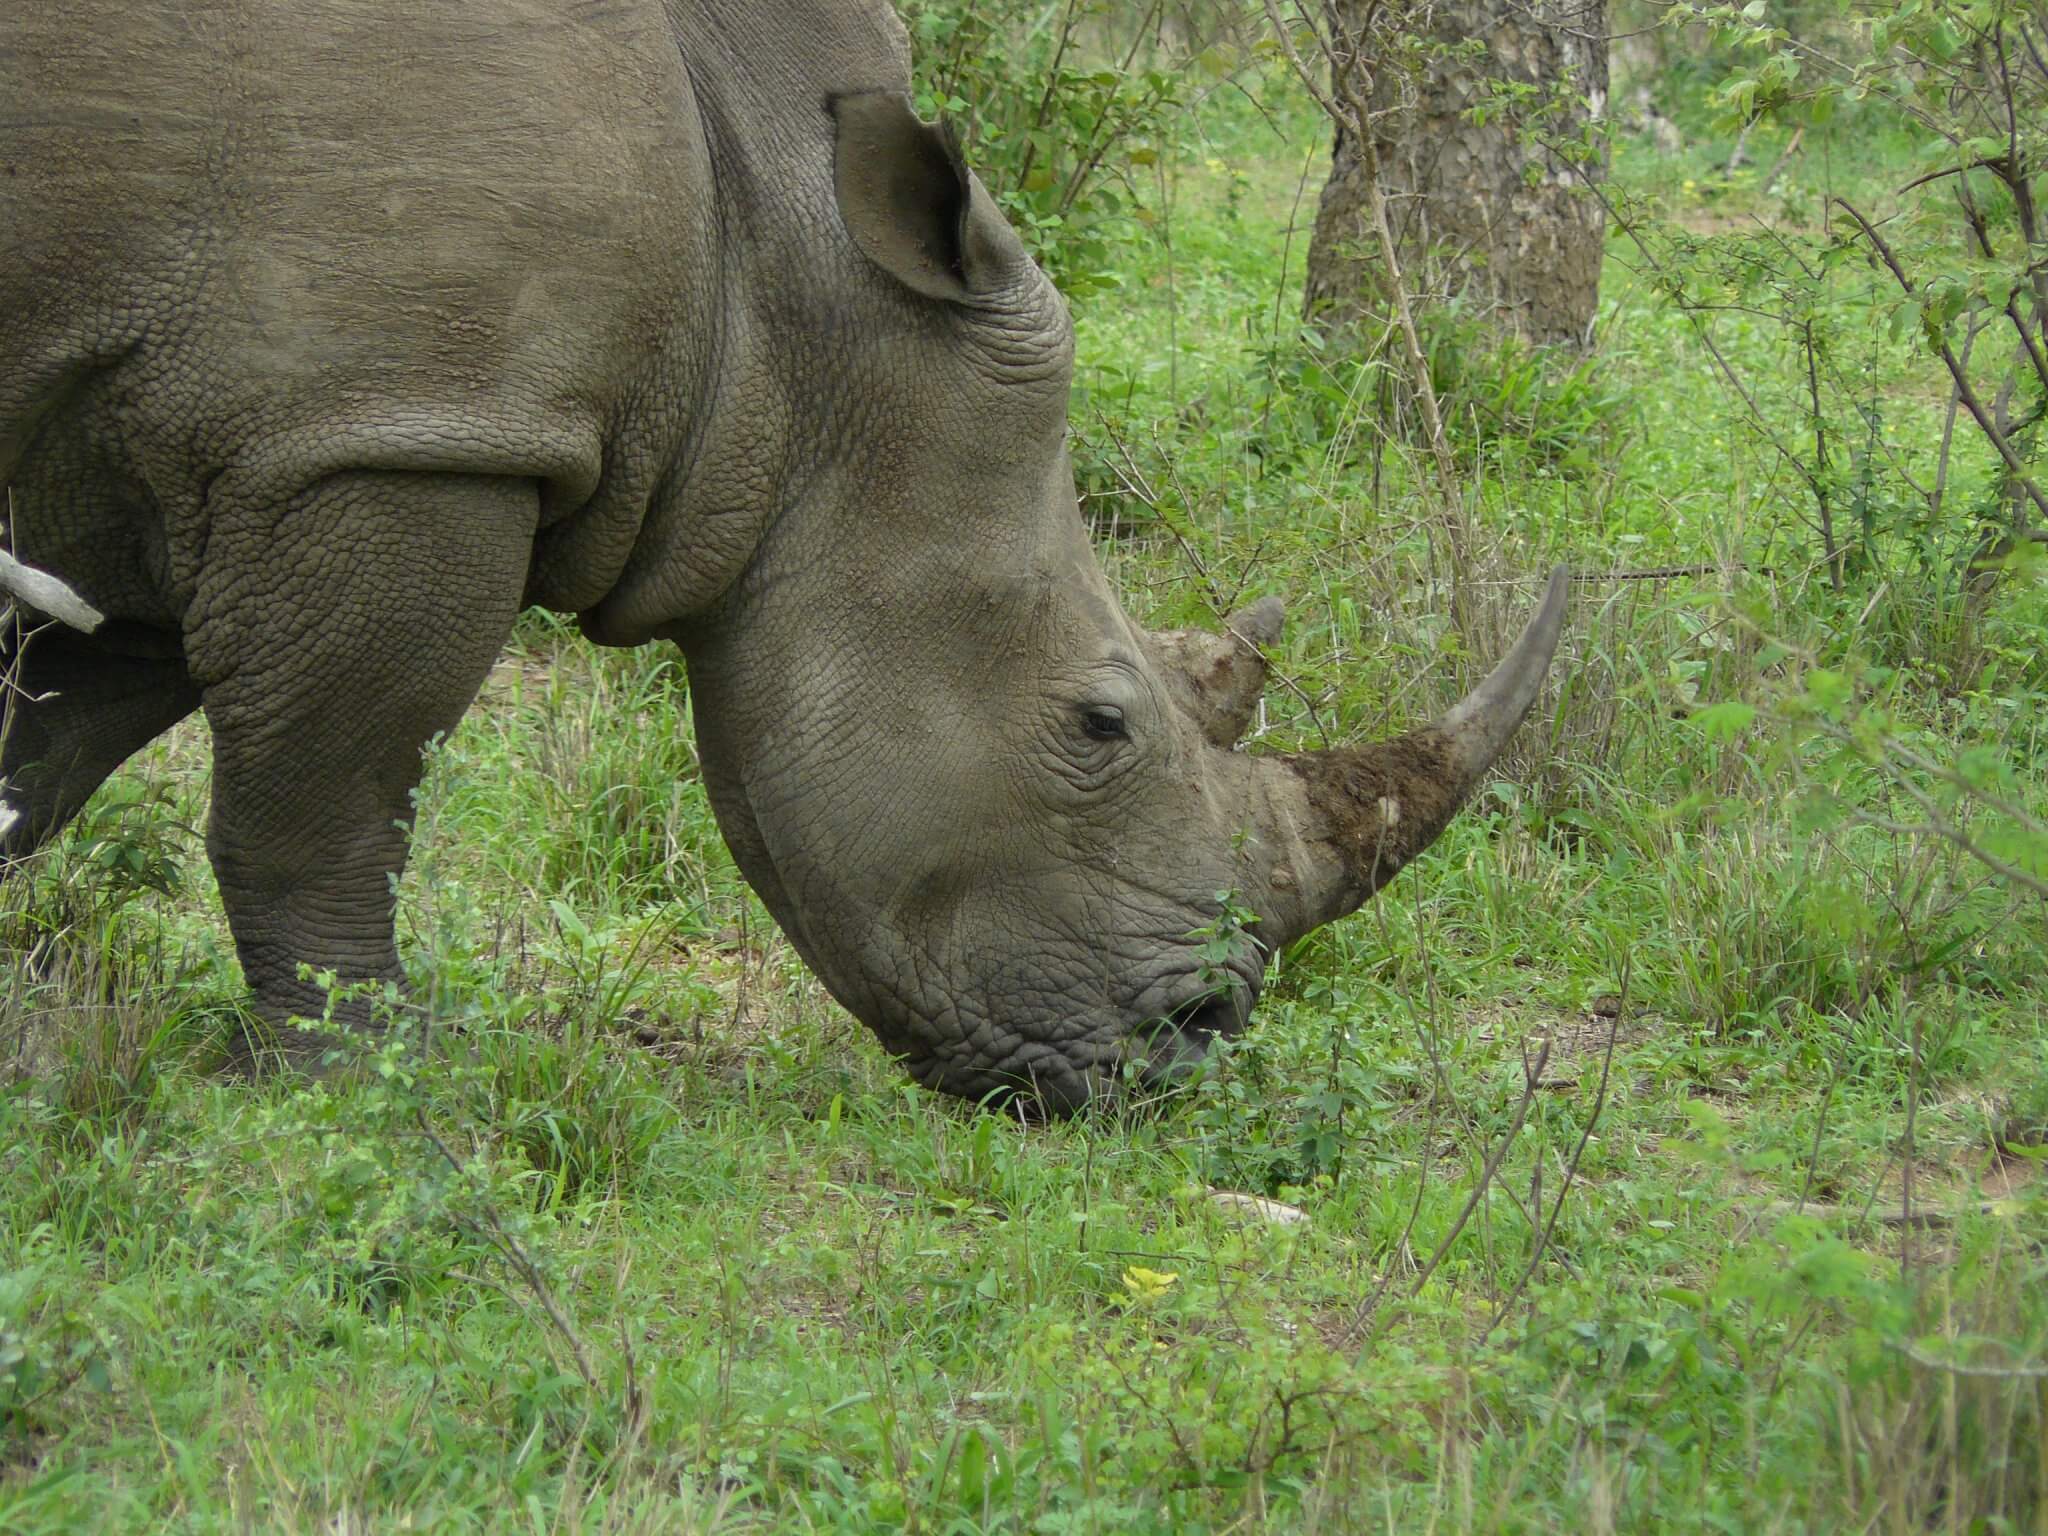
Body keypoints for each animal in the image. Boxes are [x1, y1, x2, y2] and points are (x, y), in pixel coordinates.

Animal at [0, 0, 1568, 1112]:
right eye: (1098, 723)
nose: (1201, 1044)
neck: (787, 283)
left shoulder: (201, 444)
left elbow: (53, 746)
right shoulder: (392, 428)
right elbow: (329, 795)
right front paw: (377, 1091)